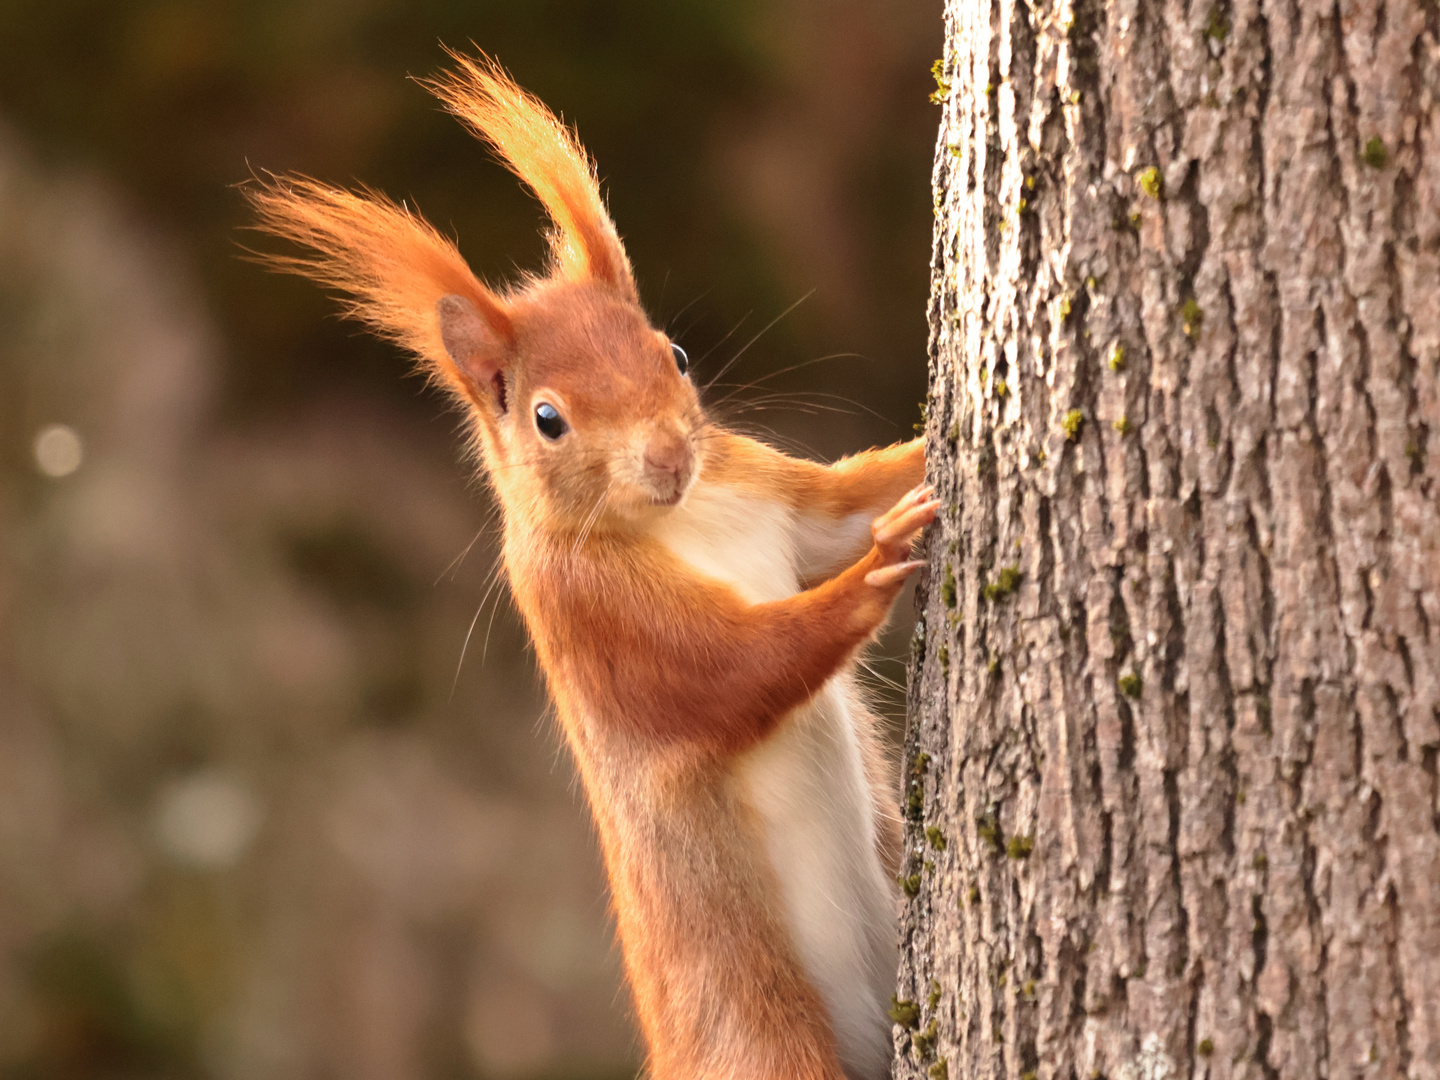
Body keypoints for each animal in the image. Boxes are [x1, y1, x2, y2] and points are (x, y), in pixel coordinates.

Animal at [250, 52, 933, 1080]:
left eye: (675, 354)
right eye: (547, 418)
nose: (669, 456)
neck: (681, 518)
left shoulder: (773, 499)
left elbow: (844, 509)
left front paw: (930, 456)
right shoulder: (595, 619)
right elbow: (737, 670)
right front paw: (885, 565)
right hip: (764, 1040)